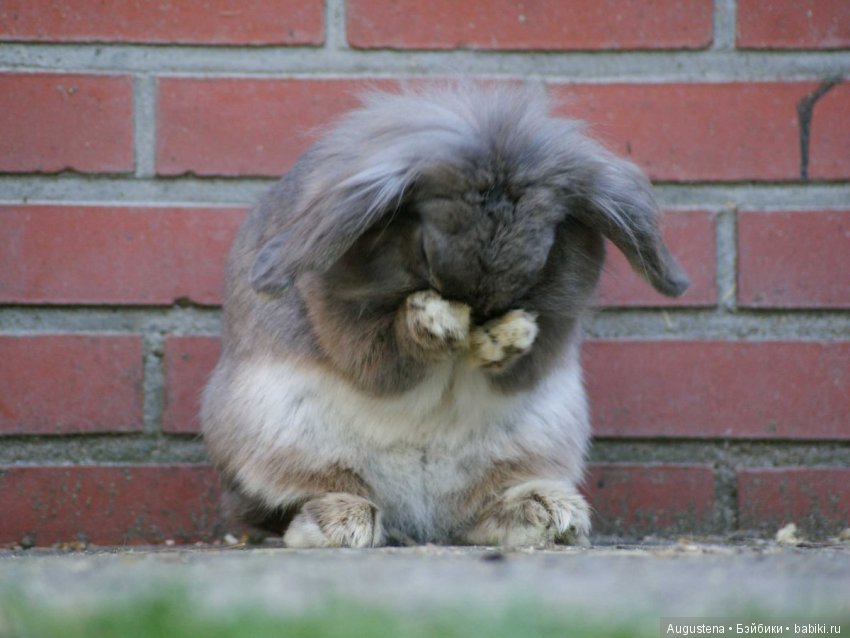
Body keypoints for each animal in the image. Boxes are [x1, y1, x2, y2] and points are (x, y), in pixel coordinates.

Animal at [201, 83, 689, 548]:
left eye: (545, 252)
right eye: (424, 249)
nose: (482, 308)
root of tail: (418, 519)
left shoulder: (554, 331)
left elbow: (526, 355)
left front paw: (507, 337)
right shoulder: (341, 326)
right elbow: (384, 354)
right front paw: (433, 323)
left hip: (531, 447)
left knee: (474, 517)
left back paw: (547, 513)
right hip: (279, 442)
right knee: (293, 502)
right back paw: (340, 521)